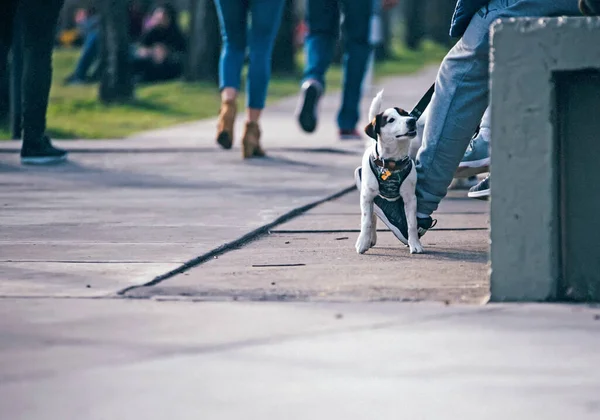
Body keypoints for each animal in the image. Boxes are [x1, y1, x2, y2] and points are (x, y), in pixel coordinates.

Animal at [354, 90, 424, 254]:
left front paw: (414, 244)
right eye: (391, 120)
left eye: (405, 114)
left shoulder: (410, 198)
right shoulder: (367, 196)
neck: (392, 162)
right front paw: (362, 242)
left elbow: (412, 224)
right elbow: (366, 221)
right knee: (372, 216)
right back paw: (369, 239)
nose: (411, 120)